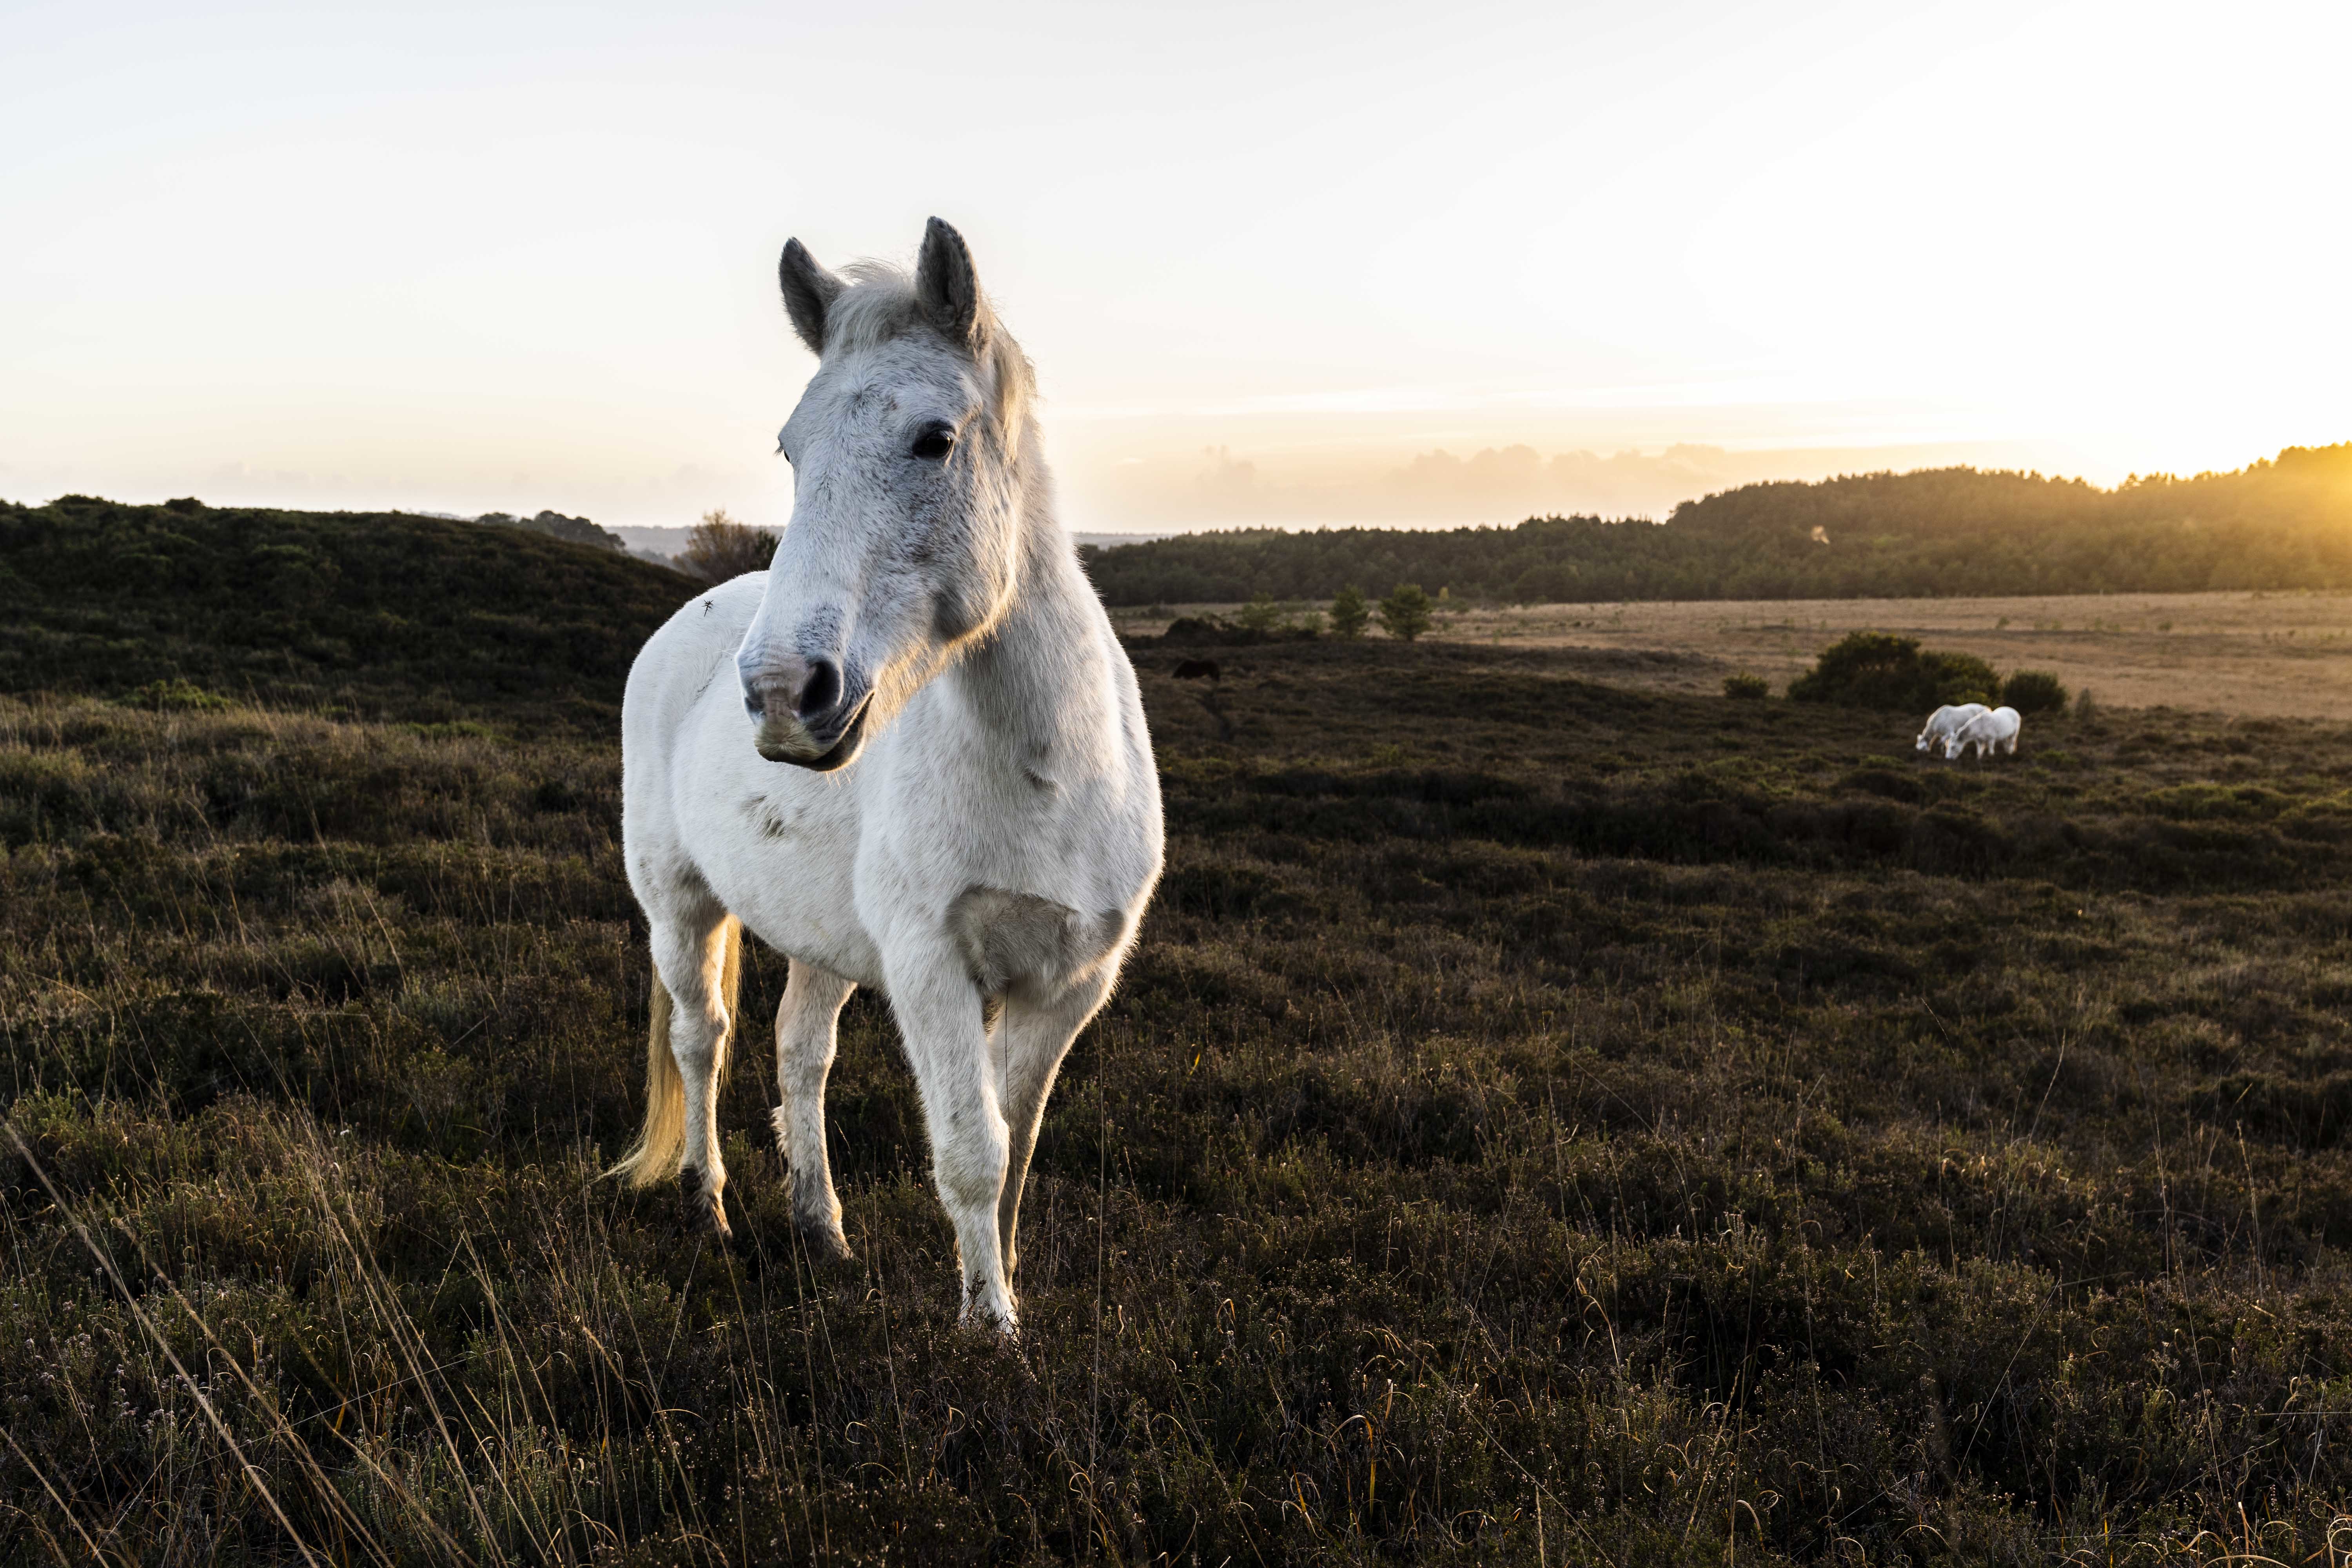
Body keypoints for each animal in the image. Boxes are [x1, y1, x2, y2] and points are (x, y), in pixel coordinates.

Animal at [612, 219, 1165, 1334]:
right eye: (792, 448)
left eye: (935, 440)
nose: (786, 693)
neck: (1045, 775)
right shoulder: (929, 970)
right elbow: (969, 1150)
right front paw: (988, 1333)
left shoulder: (1067, 988)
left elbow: (1017, 1149)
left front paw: (1007, 1290)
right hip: (678, 903)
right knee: (703, 1039)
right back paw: (708, 1206)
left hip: (819, 935)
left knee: (799, 1053)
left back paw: (819, 1229)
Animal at [1916, 702, 1988, 754]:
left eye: (1923, 748)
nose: (1920, 753)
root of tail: (1986, 708)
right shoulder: (1943, 733)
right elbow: (1945, 742)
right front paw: (1943, 750)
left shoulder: (1949, 731)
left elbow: (1942, 740)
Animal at [1944, 705, 2022, 759]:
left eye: (1953, 747)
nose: (1948, 759)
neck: (1980, 726)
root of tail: (2014, 711)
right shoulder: (1979, 741)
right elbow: (1979, 752)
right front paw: (1979, 760)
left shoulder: (1991, 739)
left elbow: (1991, 751)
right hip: (2005, 736)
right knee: (2006, 743)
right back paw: (2007, 753)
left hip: (2015, 733)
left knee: (2012, 742)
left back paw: (2010, 753)